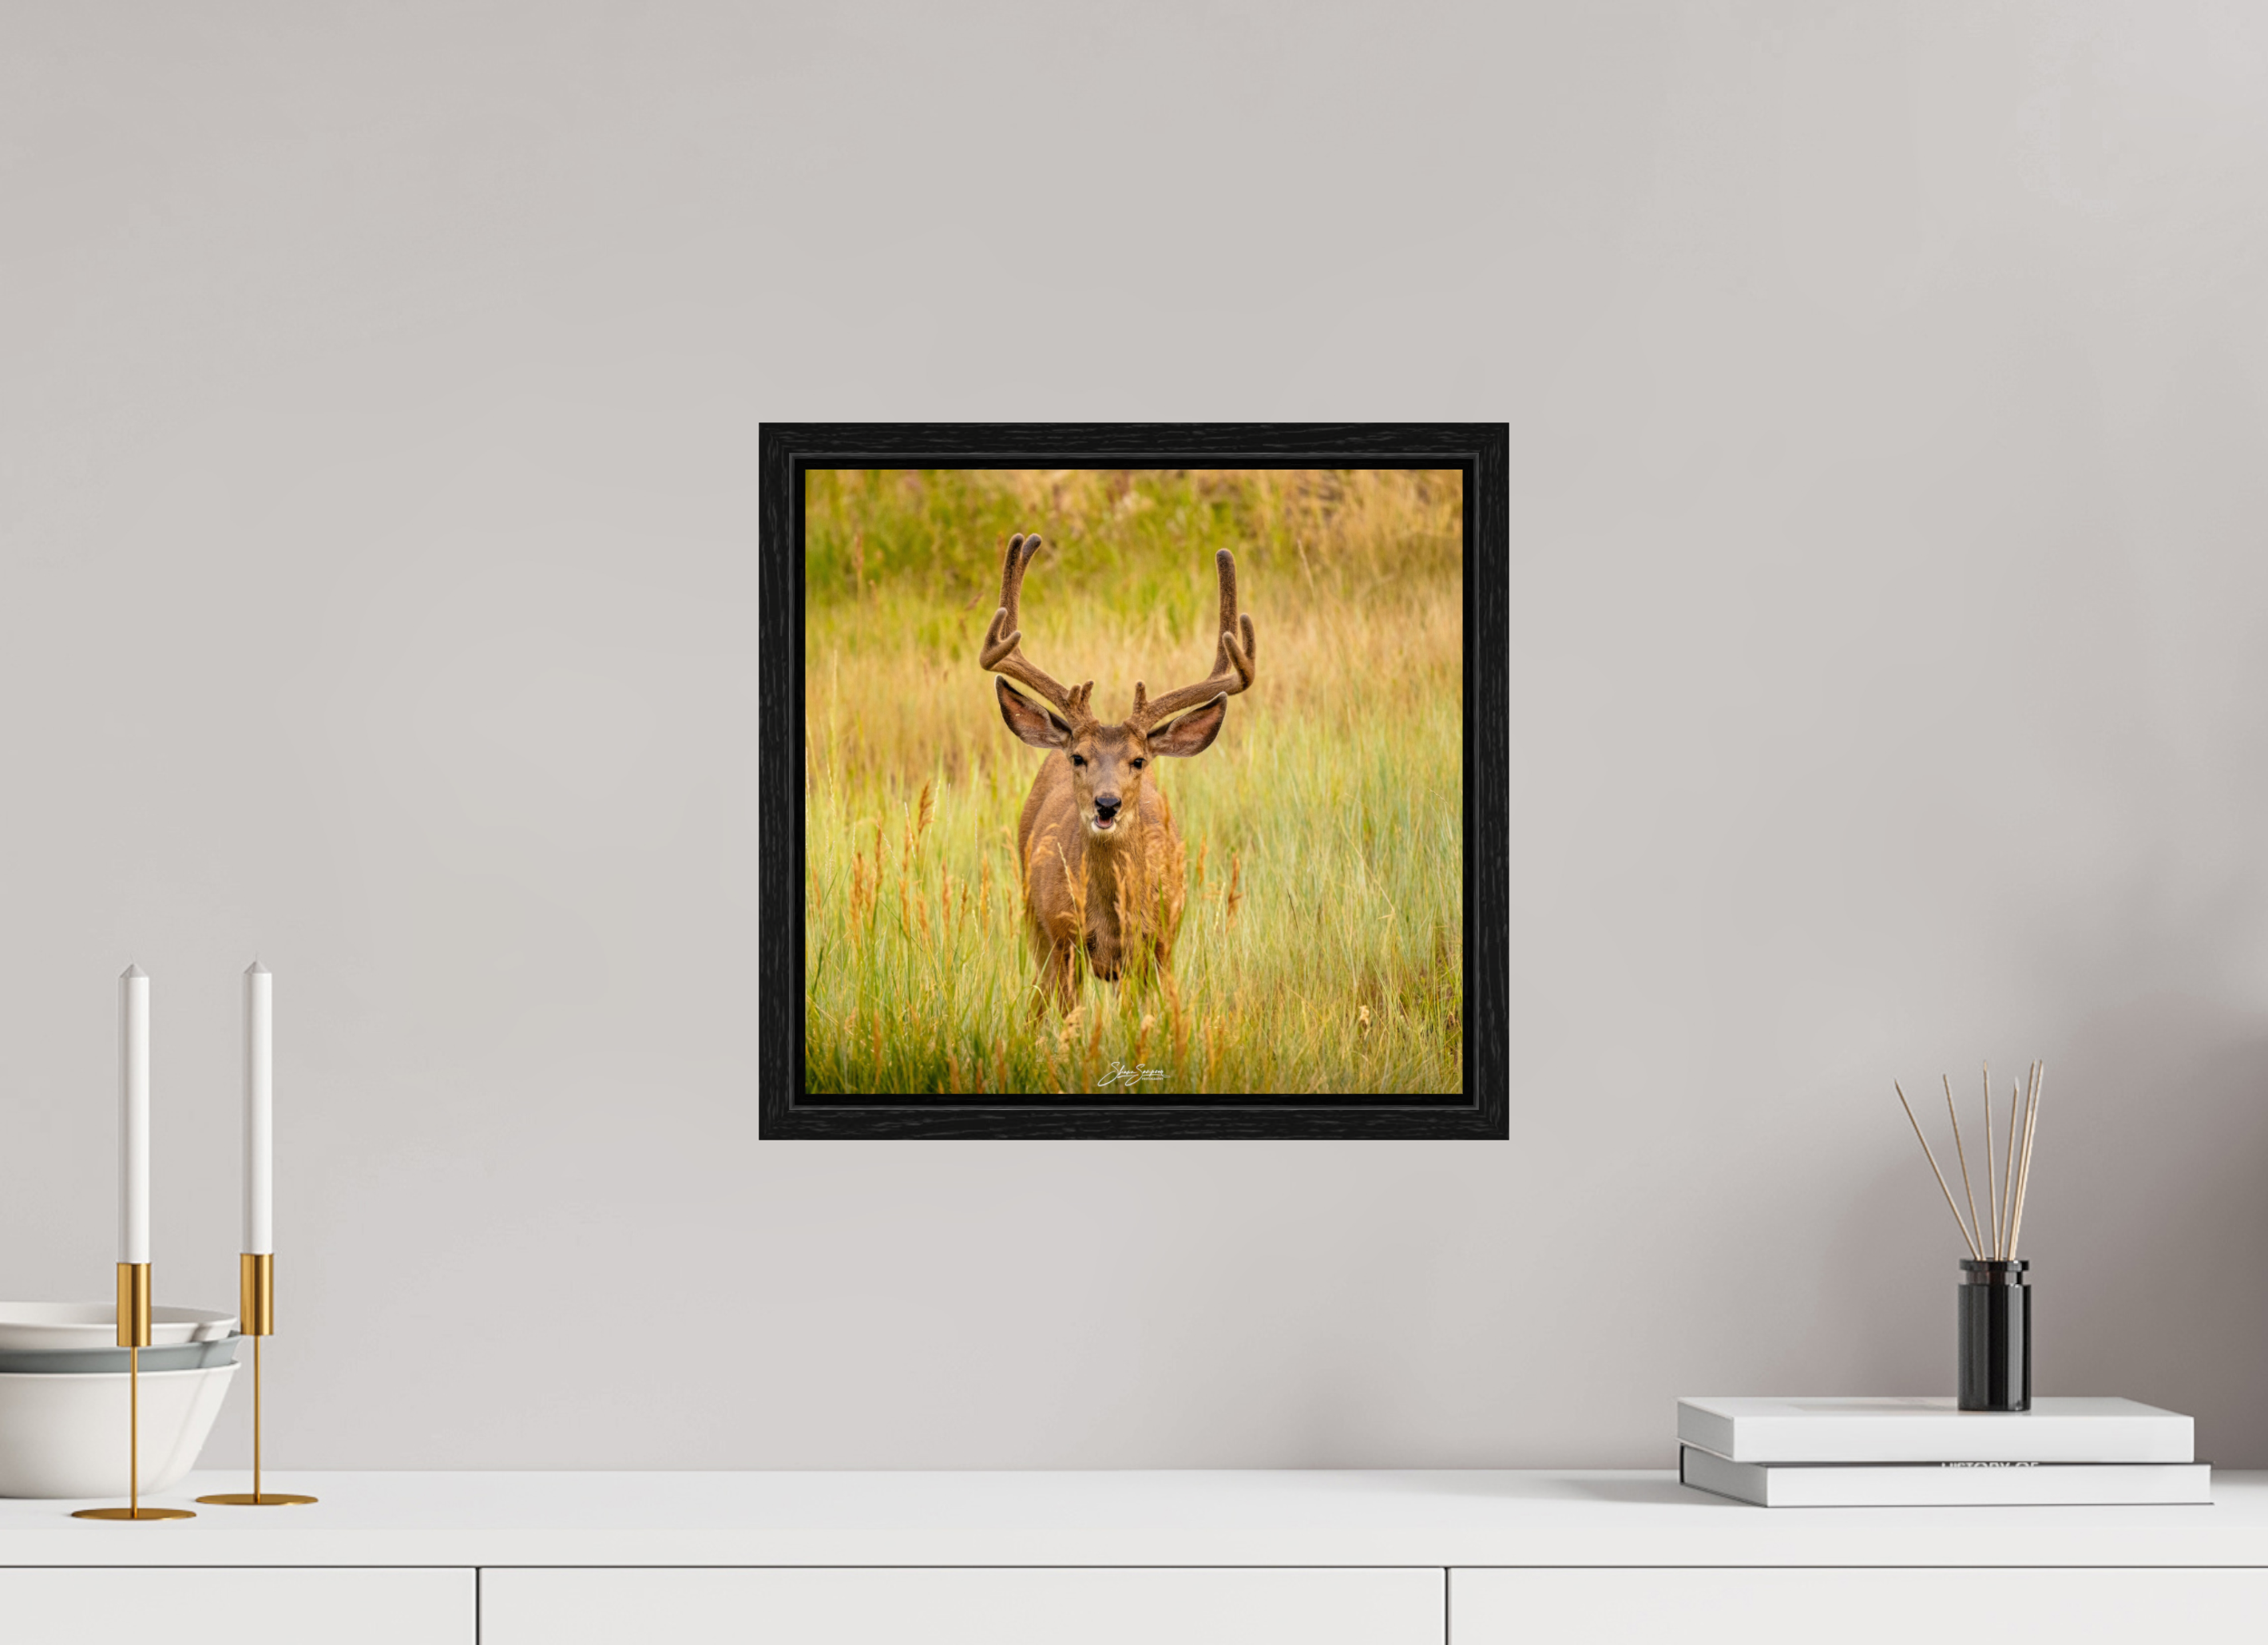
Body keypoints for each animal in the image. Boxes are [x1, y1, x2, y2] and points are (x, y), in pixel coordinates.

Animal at [981, 532, 1257, 1016]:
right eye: (1079, 758)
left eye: (1138, 761)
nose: (1106, 803)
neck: (1111, 922)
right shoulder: (1063, 941)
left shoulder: (1160, 945)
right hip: (1033, 918)